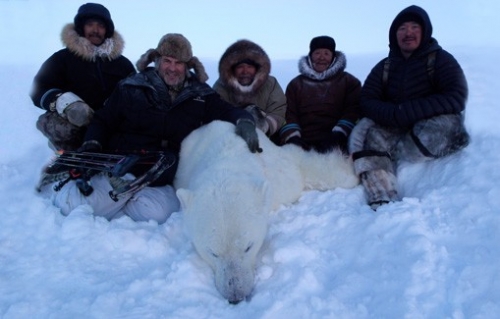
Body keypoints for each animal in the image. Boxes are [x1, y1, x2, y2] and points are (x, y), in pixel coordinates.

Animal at [174, 121, 358, 304]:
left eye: (248, 247)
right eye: (213, 252)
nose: (236, 295)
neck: (225, 161)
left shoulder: (281, 176)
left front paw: (350, 172)